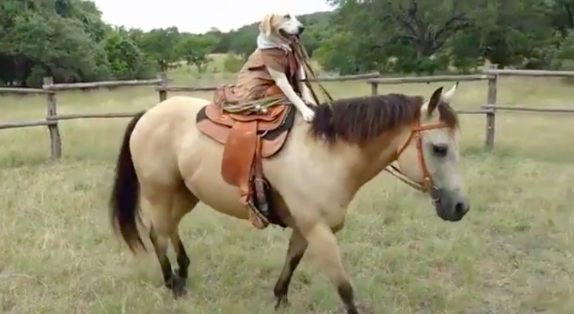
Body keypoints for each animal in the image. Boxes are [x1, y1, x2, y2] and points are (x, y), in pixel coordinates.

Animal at [109, 83, 472, 314]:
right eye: (439, 148)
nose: (461, 206)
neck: (327, 155)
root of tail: (149, 113)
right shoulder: (319, 230)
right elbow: (345, 289)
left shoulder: (304, 228)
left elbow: (291, 264)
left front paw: (279, 300)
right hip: (159, 192)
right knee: (157, 234)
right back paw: (172, 283)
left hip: (185, 193)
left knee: (170, 228)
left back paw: (183, 275)